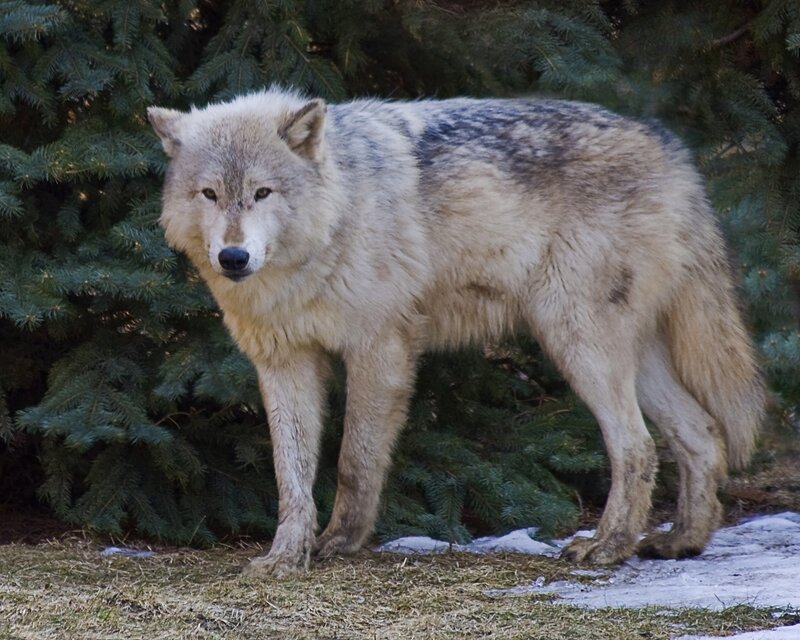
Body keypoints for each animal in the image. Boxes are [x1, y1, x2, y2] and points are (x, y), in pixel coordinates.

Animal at [148, 88, 765, 577]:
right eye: (209, 194)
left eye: (262, 193)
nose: (233, 257)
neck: (336, 217)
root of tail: (672, 150)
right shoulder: (284, 362)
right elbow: (290, 477)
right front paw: (285, 557)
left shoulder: (380, 350)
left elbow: (354, 462)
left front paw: (342, 543)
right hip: (627, 357)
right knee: (701, 432)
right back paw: (681, 540)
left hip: (578, 346)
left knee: (635, 447)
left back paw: (608, 547)